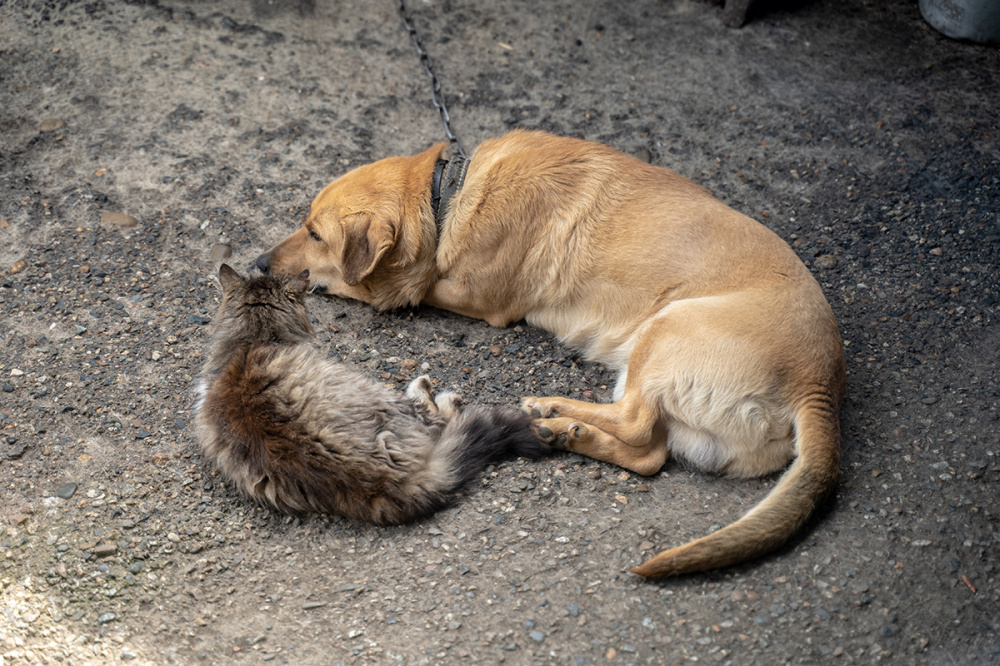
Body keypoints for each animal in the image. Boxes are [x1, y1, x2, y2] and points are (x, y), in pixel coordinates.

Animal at [256, 130, 844, 576]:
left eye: (314, 234)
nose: (259, 263)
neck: (448, 200)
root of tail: (820, 387)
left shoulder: (473, 297)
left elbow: (407, 287)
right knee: (649, 454)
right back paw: (569, 430)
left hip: (665, 328)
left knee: (635, 423)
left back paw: (553, 410)